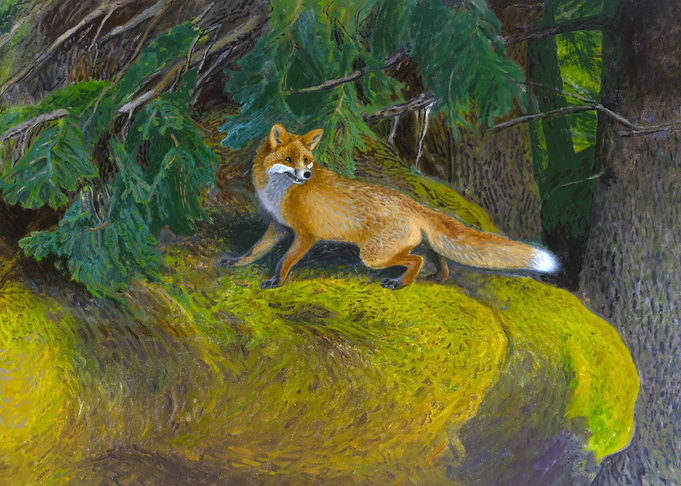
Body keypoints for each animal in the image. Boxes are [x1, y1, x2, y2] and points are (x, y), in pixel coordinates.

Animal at [219, 123, 559, 290]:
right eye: (289, 160)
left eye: (307, 160)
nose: (307, 175)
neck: (280, 192)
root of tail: (412, 202)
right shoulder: (277, 226)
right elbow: (254, 251)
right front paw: (236, 263)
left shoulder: (305, 235)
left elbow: (283, 261)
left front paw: (275, 282)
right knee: (433, 251)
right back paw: (440, 276)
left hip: (372, 256)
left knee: (416, 258)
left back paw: (401, 282)